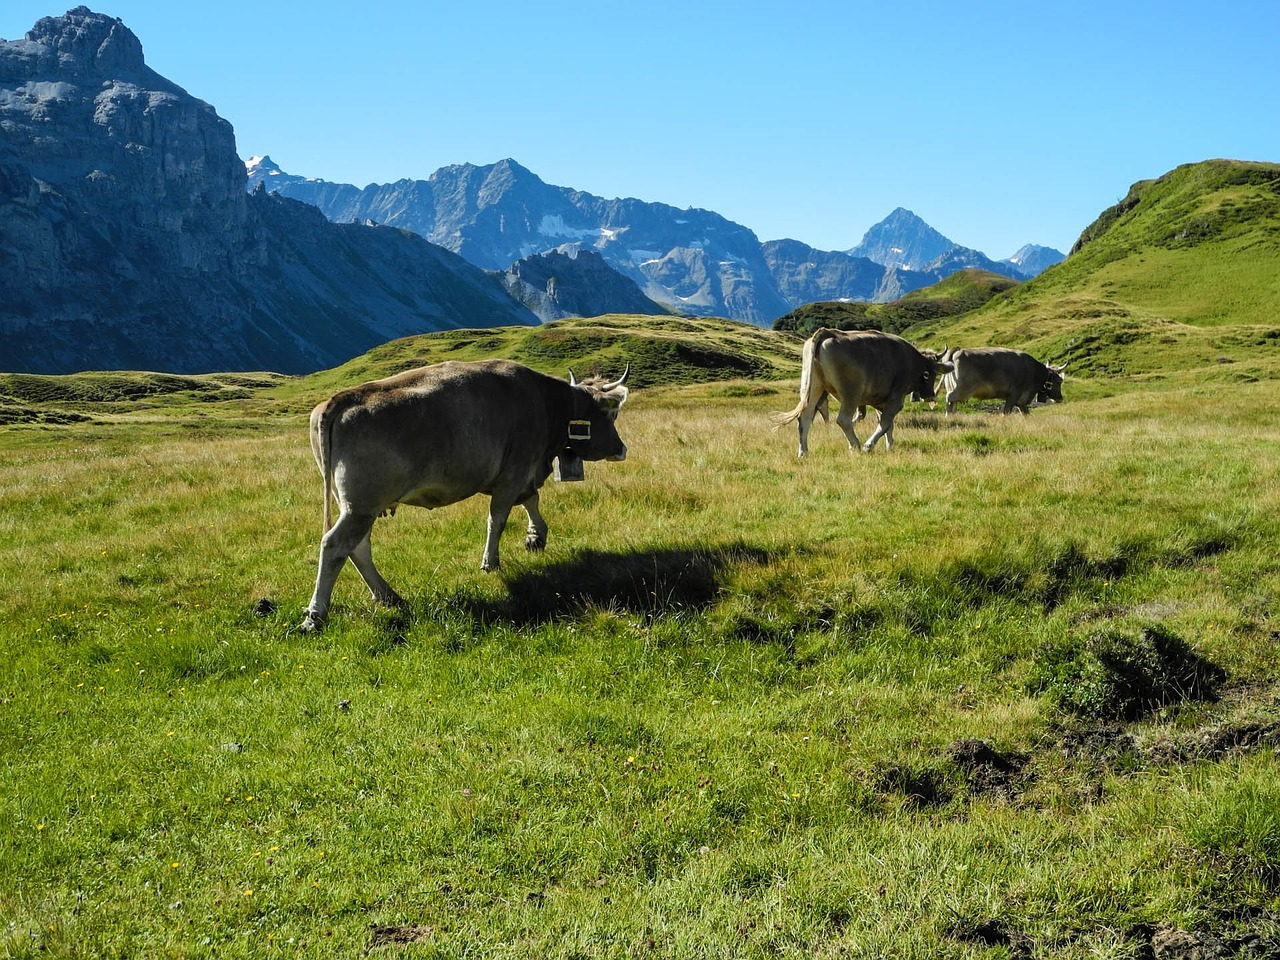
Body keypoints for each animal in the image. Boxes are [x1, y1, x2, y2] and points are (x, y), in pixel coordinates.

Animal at [304, 358, 634, 632]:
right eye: (612, 413)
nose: (622, 449)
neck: (547, 404)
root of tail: (343, 398)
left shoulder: (521, 473)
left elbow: (531, 500)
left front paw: (535, 536)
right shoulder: (514, 471)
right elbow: (498, 519)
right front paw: (491, 562)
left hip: (355, 505)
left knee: (358, 548)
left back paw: (389, 596)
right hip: (361, 505)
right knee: (335, 545)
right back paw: (316, 614)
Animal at [768, 330, 952, 458]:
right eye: (931, 374)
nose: (930, 395)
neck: (911, 360)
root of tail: (827, 332)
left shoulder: (881, 402)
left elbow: (888, 424)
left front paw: (889, 445)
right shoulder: (895, 398)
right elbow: (885, 423)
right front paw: (869, 445)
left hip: (812, 388)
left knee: (804, 418)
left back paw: (803, 452)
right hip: (851, 393)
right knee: (843, 420)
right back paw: (855, 445)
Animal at [942, 350, 1070, 417]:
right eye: (1059, 381)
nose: (1060, 398)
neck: (1034, 371)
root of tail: (958, 351)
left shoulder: (1021, 401)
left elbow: (1026, 413)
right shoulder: (1014, 394)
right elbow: (1007, 411)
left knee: (952, 403)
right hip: (961, 389)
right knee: (949, 399)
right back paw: (948, 417)